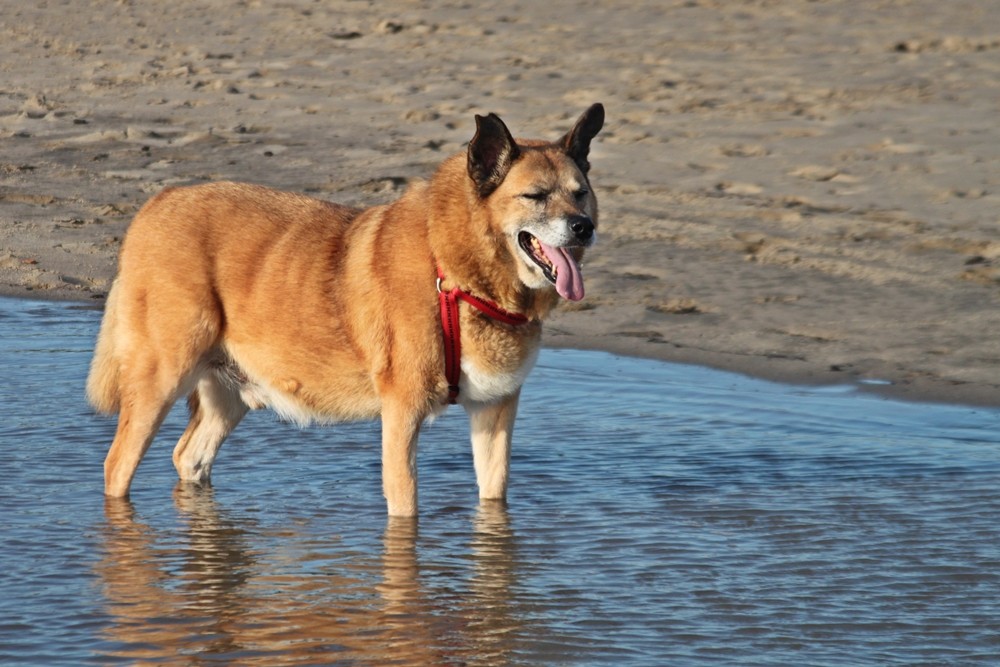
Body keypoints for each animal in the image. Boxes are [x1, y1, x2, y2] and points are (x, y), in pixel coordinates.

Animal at [88, 103, 600, 516]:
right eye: (535, 196)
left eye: (580, 192)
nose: (584, 227)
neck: (456, 273)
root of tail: (157, 203)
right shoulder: (402, 414)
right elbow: (405, 509)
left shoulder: (495, 412)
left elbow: (493, 500)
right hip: (160, 380)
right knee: (115, 466)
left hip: (228, 394)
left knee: (187, 456)